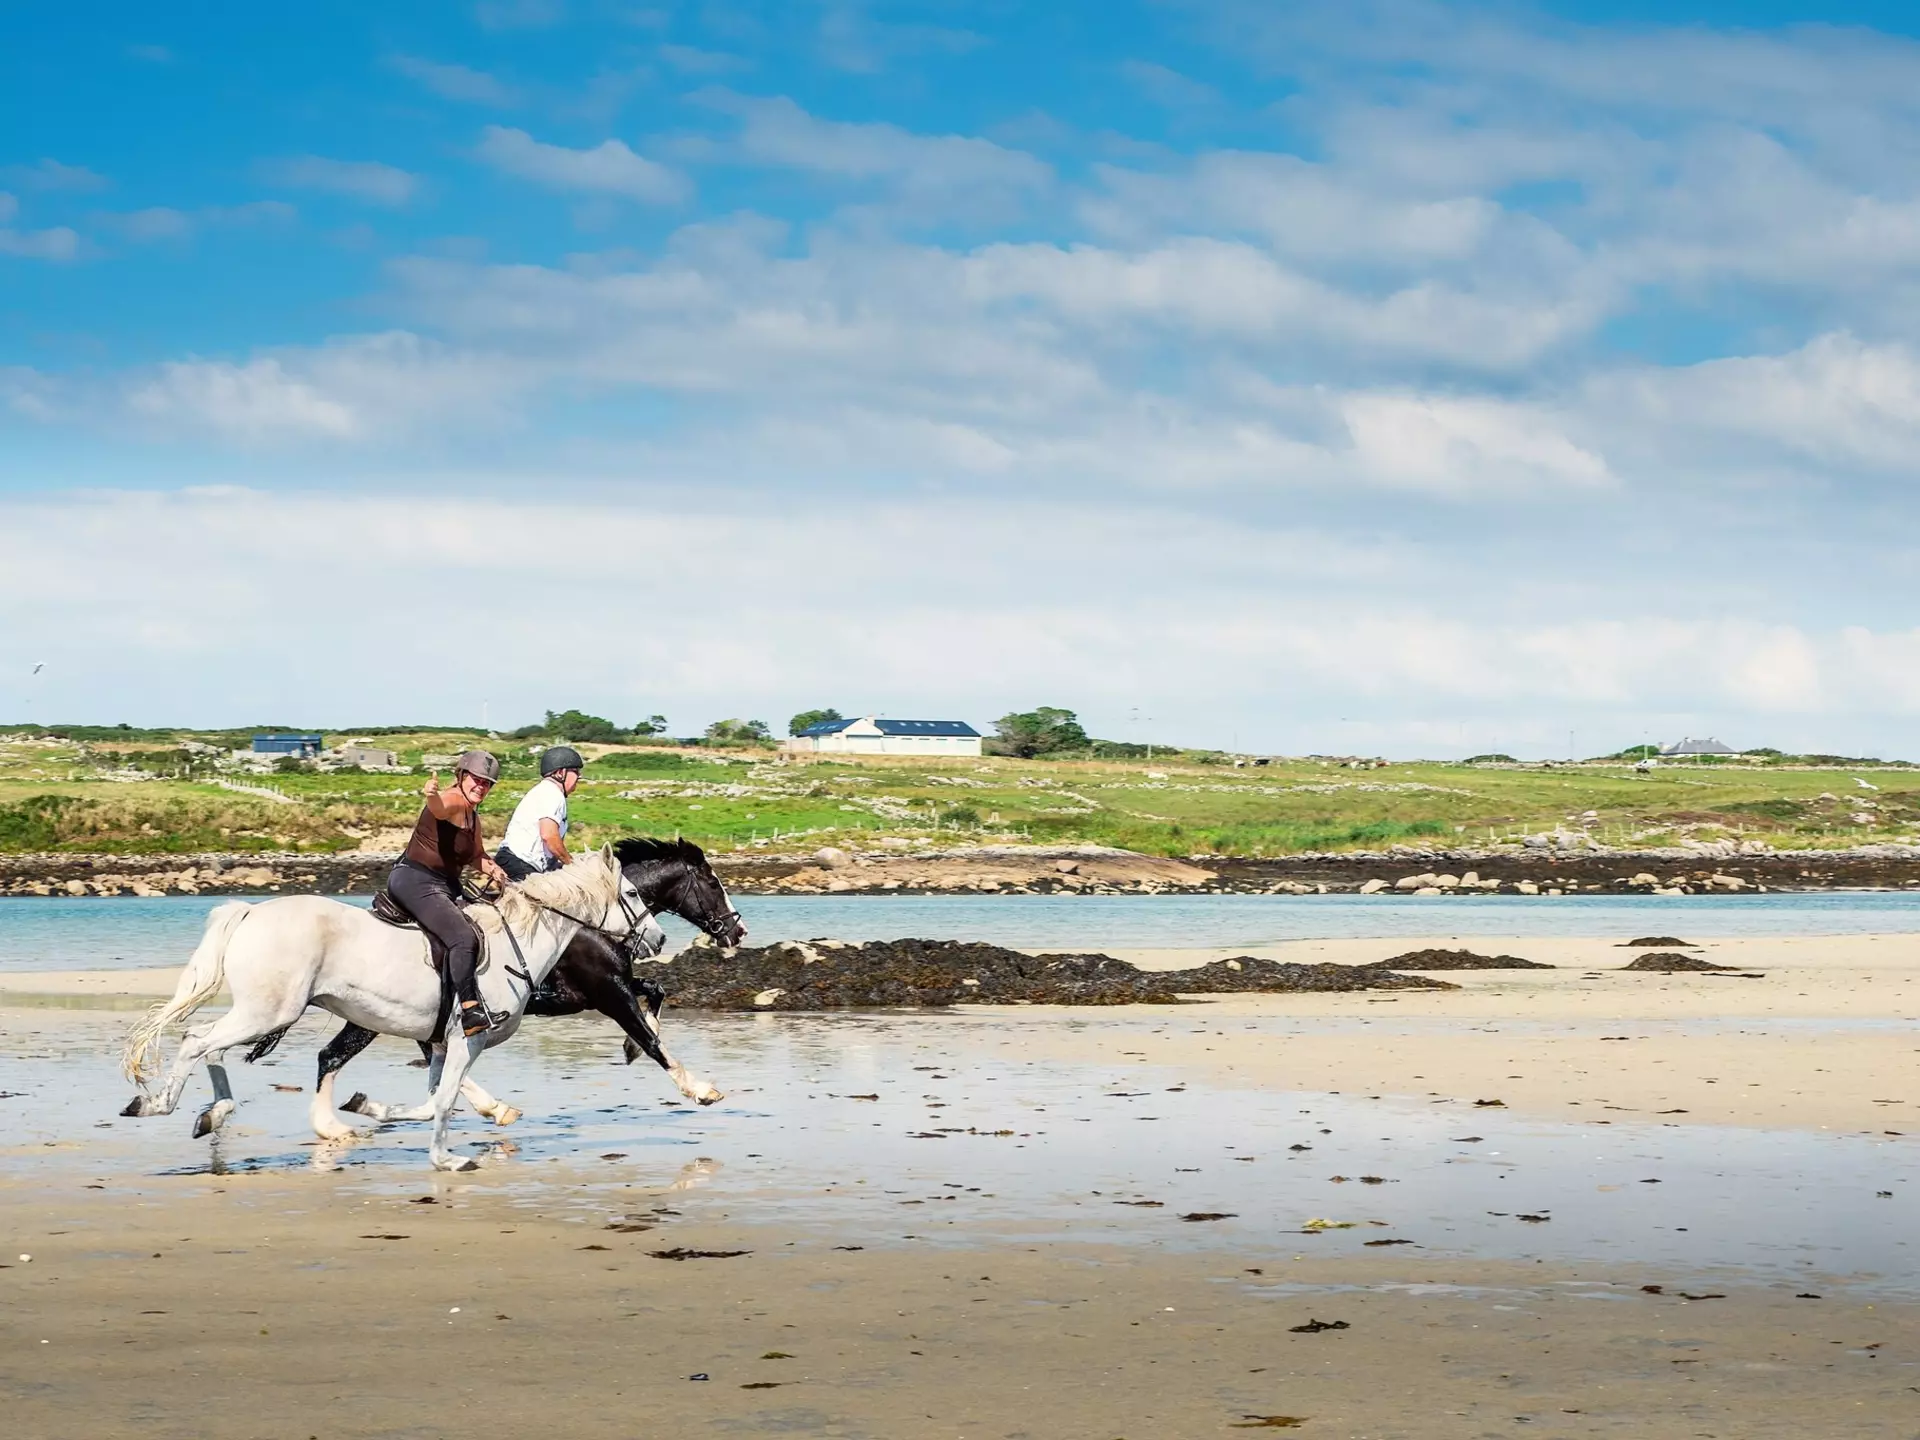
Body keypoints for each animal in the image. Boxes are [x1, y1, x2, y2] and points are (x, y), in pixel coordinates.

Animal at [120, 847, 655, 1172]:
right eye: (630, 893)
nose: (659, 938)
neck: (518, 943)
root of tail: (251, 910)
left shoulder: (441, 1043)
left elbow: (433, 1100)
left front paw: (368, 1106)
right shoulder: (469, 1038)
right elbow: (444, 1101)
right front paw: (446, 1160)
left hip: (263, 1013)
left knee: (212, 1045)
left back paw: (212, 1114)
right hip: (270, 1012)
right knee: (198, 1041)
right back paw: (158, 1104)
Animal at [290, 837, 744, 1139]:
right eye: (713, 884)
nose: (737, 931)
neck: (587, 921)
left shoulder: (613, 984)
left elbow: (656, 992)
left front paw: (631, 1048)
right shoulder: (608, 992)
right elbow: (650, 1038)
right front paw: (700, 1089)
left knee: (337, 1055)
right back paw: (493, 1107)